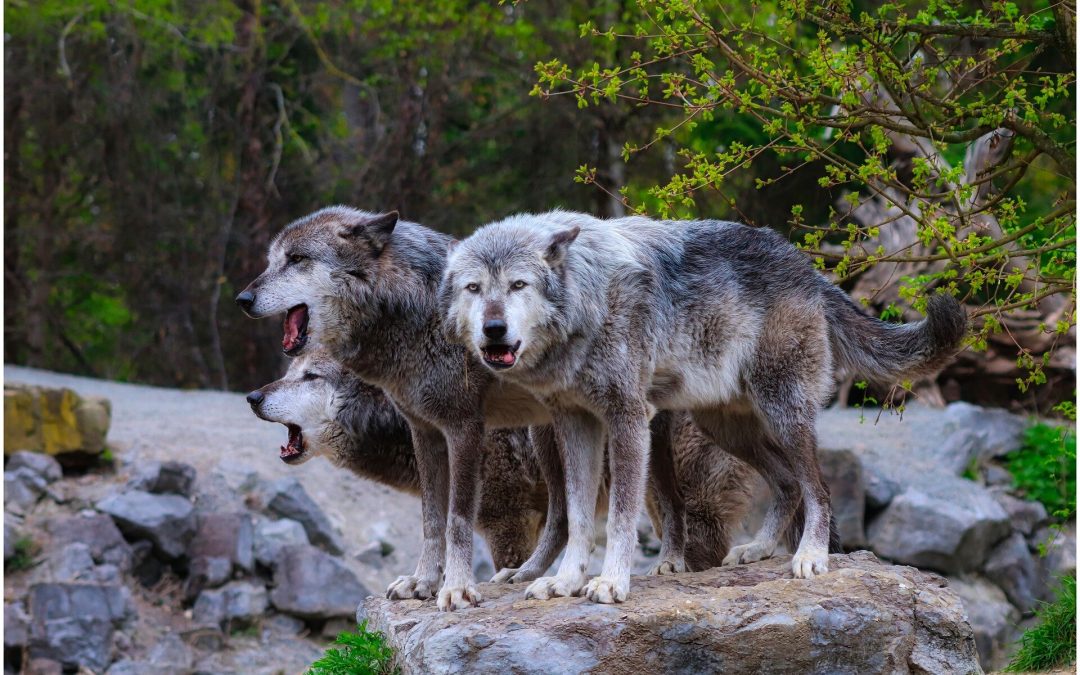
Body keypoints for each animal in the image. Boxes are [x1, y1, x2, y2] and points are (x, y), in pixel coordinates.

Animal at [235, 207, 697, 611]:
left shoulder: (471, 445)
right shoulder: (426, 432)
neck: (414, 314)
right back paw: (528, 575)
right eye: (273, 260)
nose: (242, 298)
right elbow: (432, 521)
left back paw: (670, 563)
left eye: (297, 259)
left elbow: (455, 522)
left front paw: (456, 590)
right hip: (549, 436)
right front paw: (422, 583)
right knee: (565, 517)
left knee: (671, 502)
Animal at [441, 210, 967, 603]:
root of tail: (808, 268)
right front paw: (566, 582)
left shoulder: (628, 419)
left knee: (817, 488)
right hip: (726, 429)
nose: (493, 329)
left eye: (519, 285)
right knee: (788, 484)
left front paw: (611, 582)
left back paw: (810, 557)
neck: (589, 296)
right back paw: (758, 549)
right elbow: (578, 516)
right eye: (474, 288)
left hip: (783, 414)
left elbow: (619, 518)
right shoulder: (577, 424)